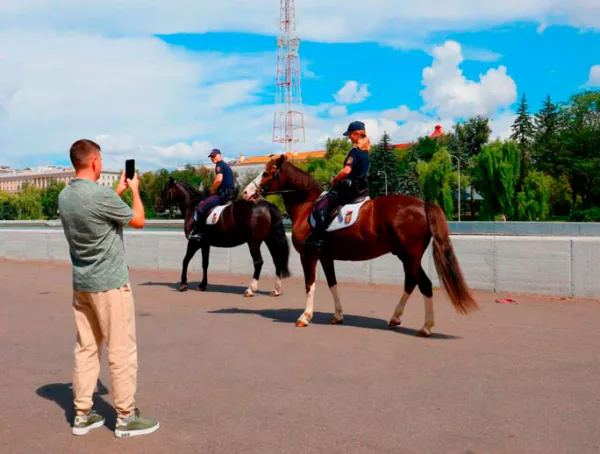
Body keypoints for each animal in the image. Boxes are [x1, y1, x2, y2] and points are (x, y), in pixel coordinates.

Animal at [156, 177, 290, 298]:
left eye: (164, 191)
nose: (157, 206)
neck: (192, 207)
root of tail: (267, 205)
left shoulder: (194, 242)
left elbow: (185, 260)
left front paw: (183, 283)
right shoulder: (205, 244)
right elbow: (205, 263)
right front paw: (203, 284)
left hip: (254, 241)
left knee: (258, 262)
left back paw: (250, 289)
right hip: (270, 239)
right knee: (277, 260)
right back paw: (276, 290)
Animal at [241, 156, 480, 336]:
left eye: (266, 173)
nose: (245, 193)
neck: (307, 208)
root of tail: (422, 204)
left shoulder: (308, 256)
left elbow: (310, 285)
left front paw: (305, 316)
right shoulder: (326, 257)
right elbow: (332, 283)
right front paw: (338, 315)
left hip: (409, 256)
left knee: (423, 284)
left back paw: (425, 326)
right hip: (406, 256)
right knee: (413, 283)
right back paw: (398, 318)